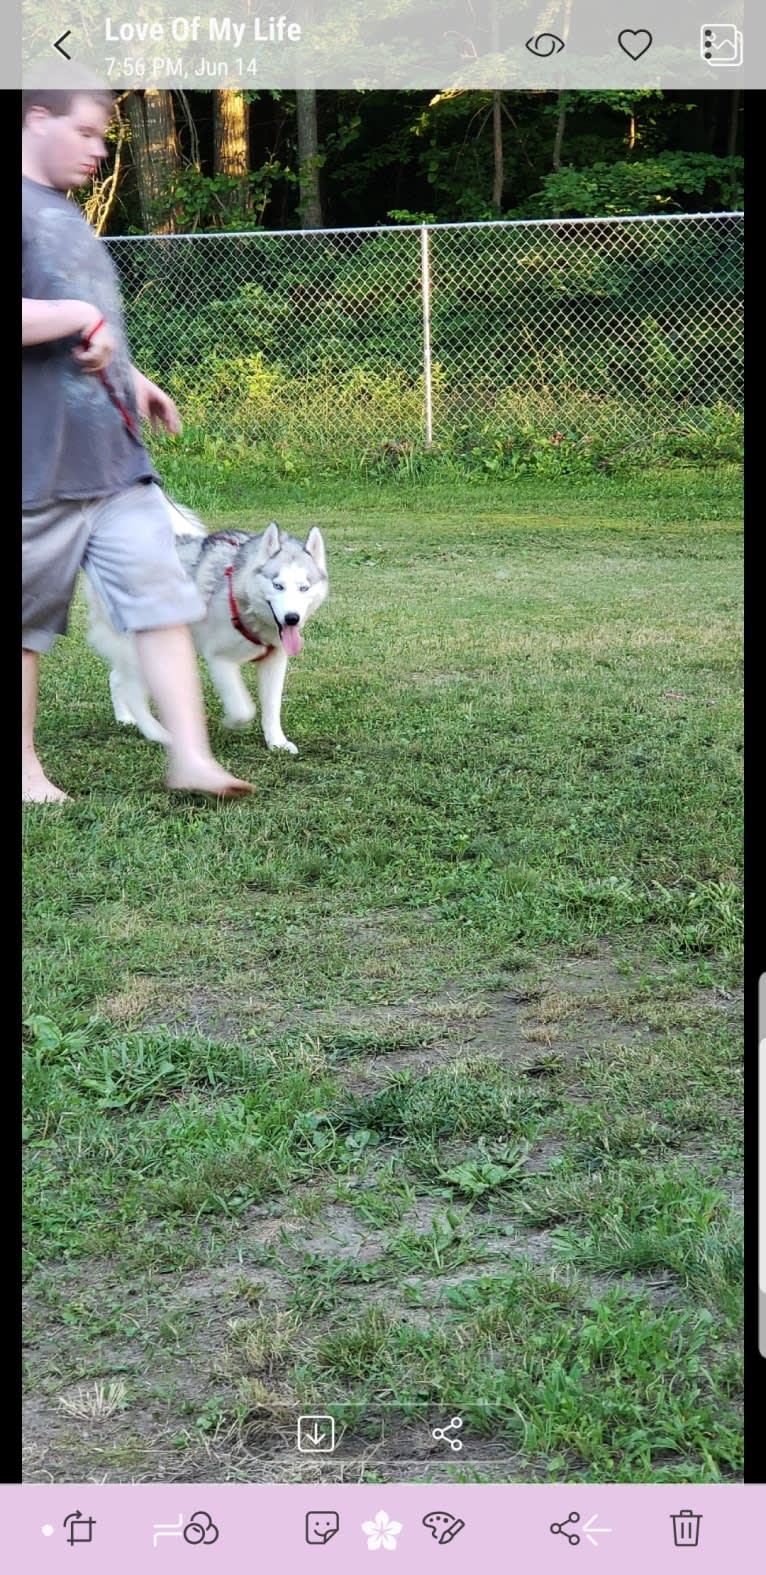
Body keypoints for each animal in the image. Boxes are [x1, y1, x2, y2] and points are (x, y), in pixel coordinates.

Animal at [84, 494, 329, 759]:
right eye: (278, 585)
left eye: (304, 588)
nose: (292, 618)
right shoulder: (219, 659)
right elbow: (243, 709)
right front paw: (230, 723)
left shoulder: (274, 661)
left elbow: (272, 707)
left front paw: (277, 742)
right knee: (133, 691)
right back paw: (158, 734)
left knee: (117, 678)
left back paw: (125, 717)